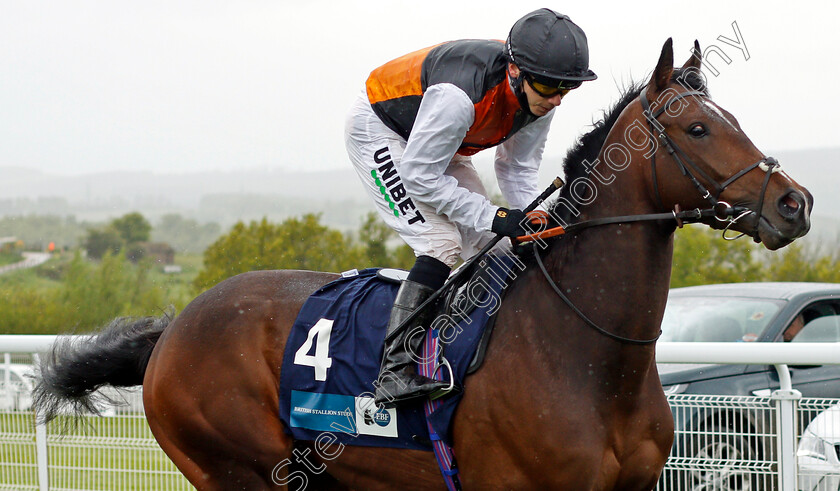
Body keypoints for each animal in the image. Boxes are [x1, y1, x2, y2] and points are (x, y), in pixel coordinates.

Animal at [36, 40, 812, 490]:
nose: (795, 203)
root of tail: (172, 329)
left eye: (733, 119)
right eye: (698, 127)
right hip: (237, 472)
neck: (588, 354)